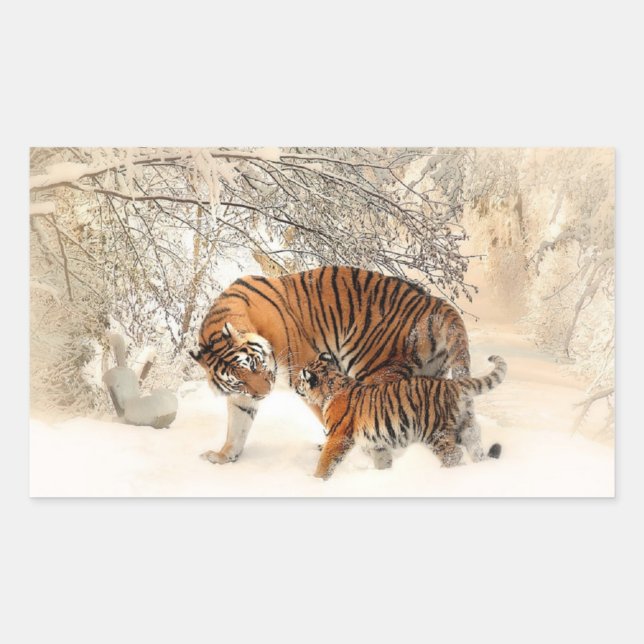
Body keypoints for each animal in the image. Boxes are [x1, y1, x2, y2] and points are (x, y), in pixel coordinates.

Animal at [190, 265, 481, 467]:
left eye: (253, 364)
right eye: (237, 380)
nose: (264, 393)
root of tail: (435, 302)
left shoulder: (306, 371)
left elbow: (331, 415)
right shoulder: (243, 396)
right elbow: (237, 426)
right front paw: (223, 456)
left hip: (375, 370)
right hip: (429, 376)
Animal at [296, 353, 507, 480]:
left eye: (300, 379)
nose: (296, 386)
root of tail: (454, 384)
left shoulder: (338, 436)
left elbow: (326, 461)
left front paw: (316, 481)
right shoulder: (377, 443)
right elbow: (383, 460)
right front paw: (384, 475)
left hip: (435, 432)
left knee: (453, 455)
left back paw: (442, 475)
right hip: (467, 426)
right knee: (475, 447)